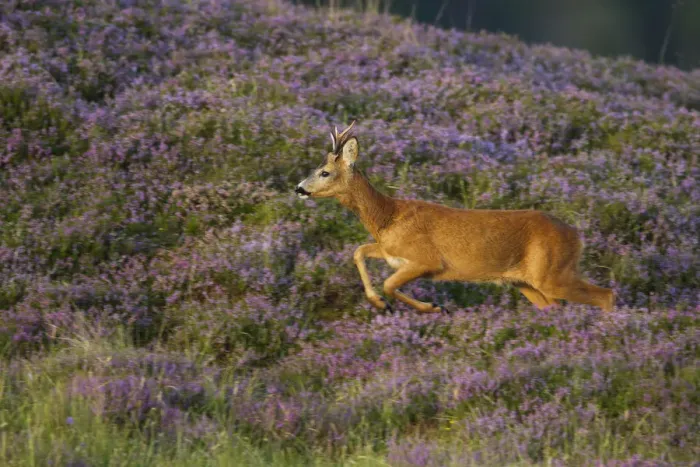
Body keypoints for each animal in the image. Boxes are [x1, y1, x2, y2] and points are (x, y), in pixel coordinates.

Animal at [295, 121, 615, 314]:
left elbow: (389, 284)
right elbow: (359, 251)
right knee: (558, 306)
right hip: (527, 282)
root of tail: (577, 236)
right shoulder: (389, 252)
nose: (299, 188)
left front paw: (431, 307)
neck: (388, 217)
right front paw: (379, 303)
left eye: (324, 172)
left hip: (553, 274)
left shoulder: (426, 260)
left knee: (606, 294)